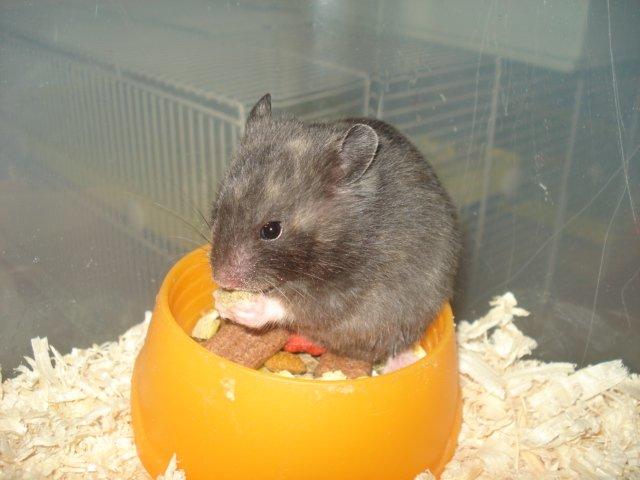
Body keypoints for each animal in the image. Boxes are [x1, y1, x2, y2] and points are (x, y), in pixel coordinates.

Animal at [209, 93, 461, 372]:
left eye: (271, 230)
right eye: (216, 209)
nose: (221, 279)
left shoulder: (346, 289)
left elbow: (296, 304)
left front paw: (242, 308)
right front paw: (219, 303)